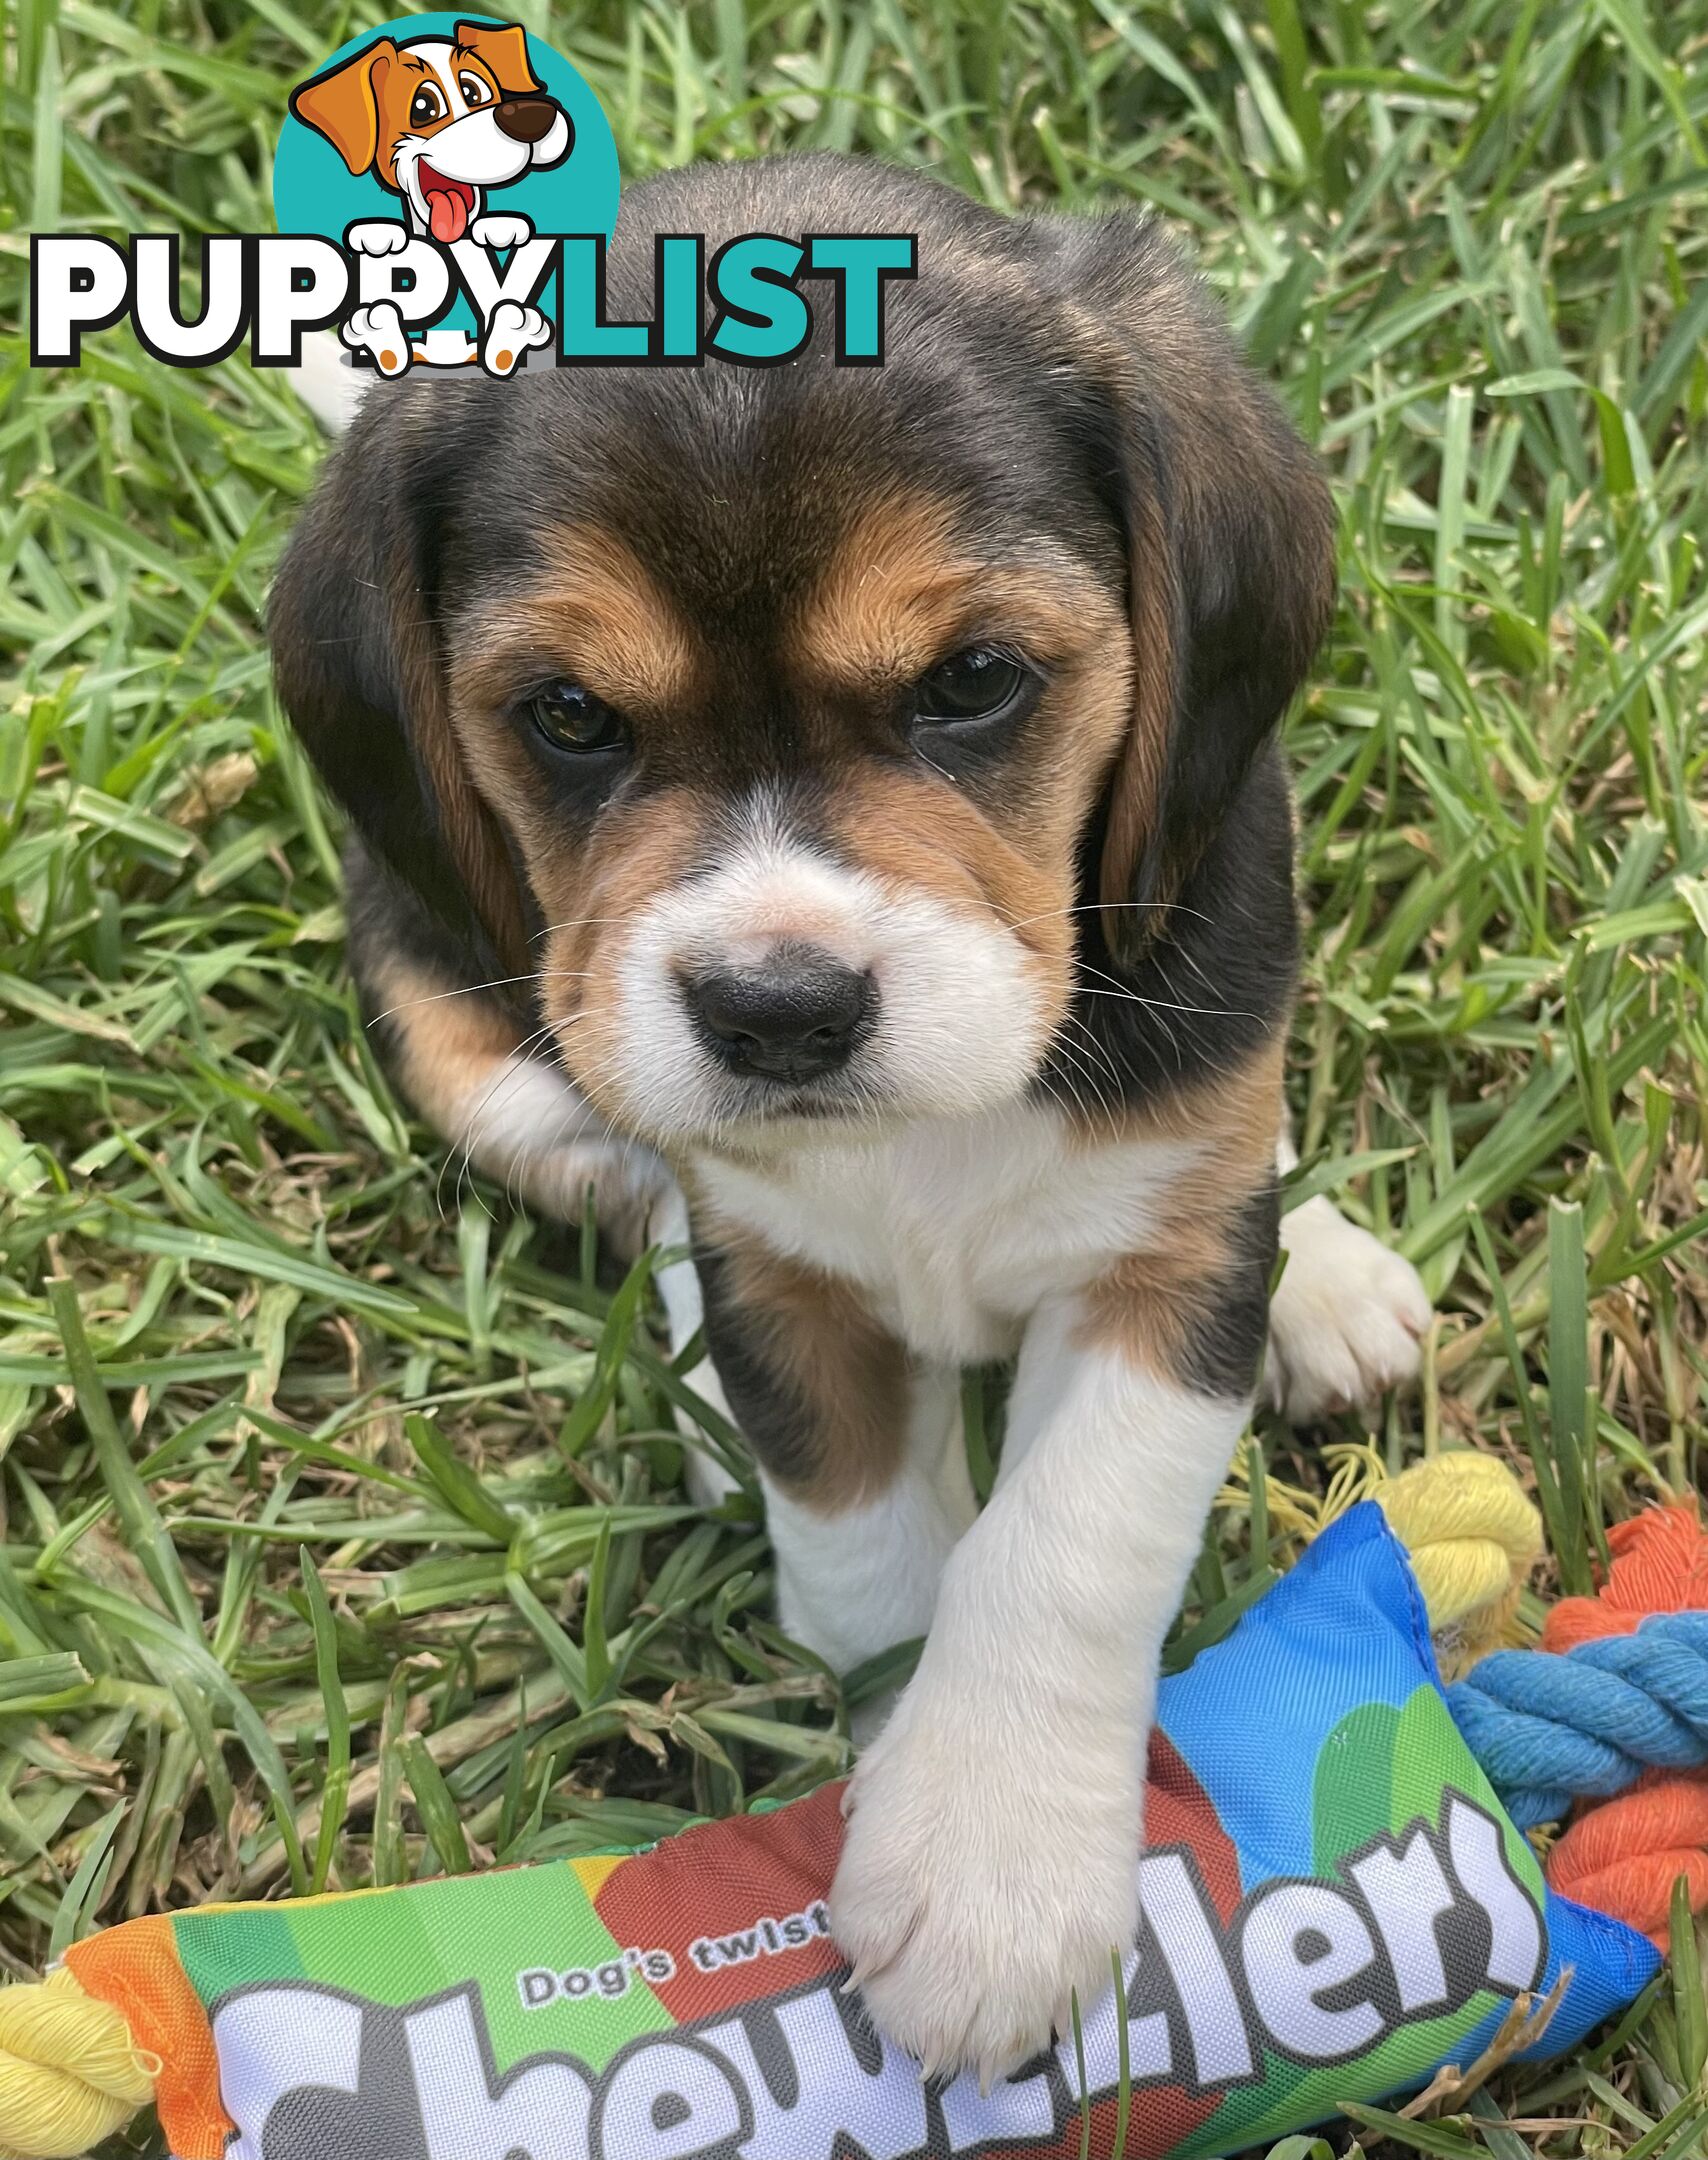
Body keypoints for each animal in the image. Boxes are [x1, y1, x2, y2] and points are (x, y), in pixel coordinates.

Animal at [274, 156, 1433, 2090]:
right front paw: (908, 1789)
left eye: (970, 680)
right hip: (471, 1028)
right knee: (624, 1182)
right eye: (567, 717)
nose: (777, 1013)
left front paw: (986, 1860)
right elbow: (873, 1546)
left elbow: (1063, 1547)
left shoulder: (1163, 1278)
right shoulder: (774, 1269)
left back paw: (1322, 1273)